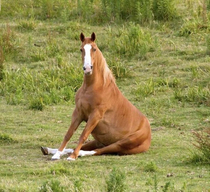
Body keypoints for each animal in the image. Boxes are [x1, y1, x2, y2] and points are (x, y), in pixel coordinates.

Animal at [41, 32, 152, 160]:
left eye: (94, 49)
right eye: (81, 49)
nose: (87, 68)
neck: (92, 87)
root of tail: (148, 134)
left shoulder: (95, 115)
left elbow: (83, 135)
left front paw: (72, 157)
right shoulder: (78, 112)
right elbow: (69, 134)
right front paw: (57, 154)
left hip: (122, 143)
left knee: (100, 150)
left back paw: (79, 153)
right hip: (99, 140)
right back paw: (48, 150)